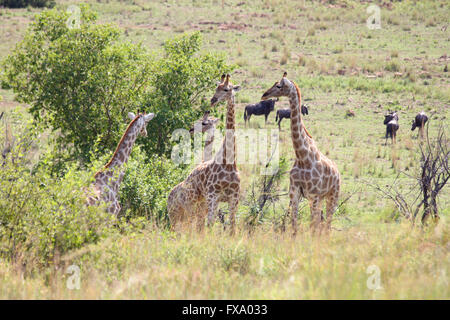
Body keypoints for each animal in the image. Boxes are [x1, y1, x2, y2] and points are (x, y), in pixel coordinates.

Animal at [167, 74, 241, 234]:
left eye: (226, 89)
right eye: (216, 87)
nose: (213, 100)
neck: (229, 163)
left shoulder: (234, 197)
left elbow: (232, 228)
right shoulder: (213, 196)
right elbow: (209, 225)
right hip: (183, 209)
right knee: (187, 227)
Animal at [260, 73, 342, 235]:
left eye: (279, 85)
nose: (264, 95)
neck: (302, 156)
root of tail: (337, 172)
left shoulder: (313, 194)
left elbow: (312, 225)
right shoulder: (295, 193)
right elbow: (294, 225)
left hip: (332, 196)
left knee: (327, 224)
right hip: (321, 198)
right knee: (322, 222)